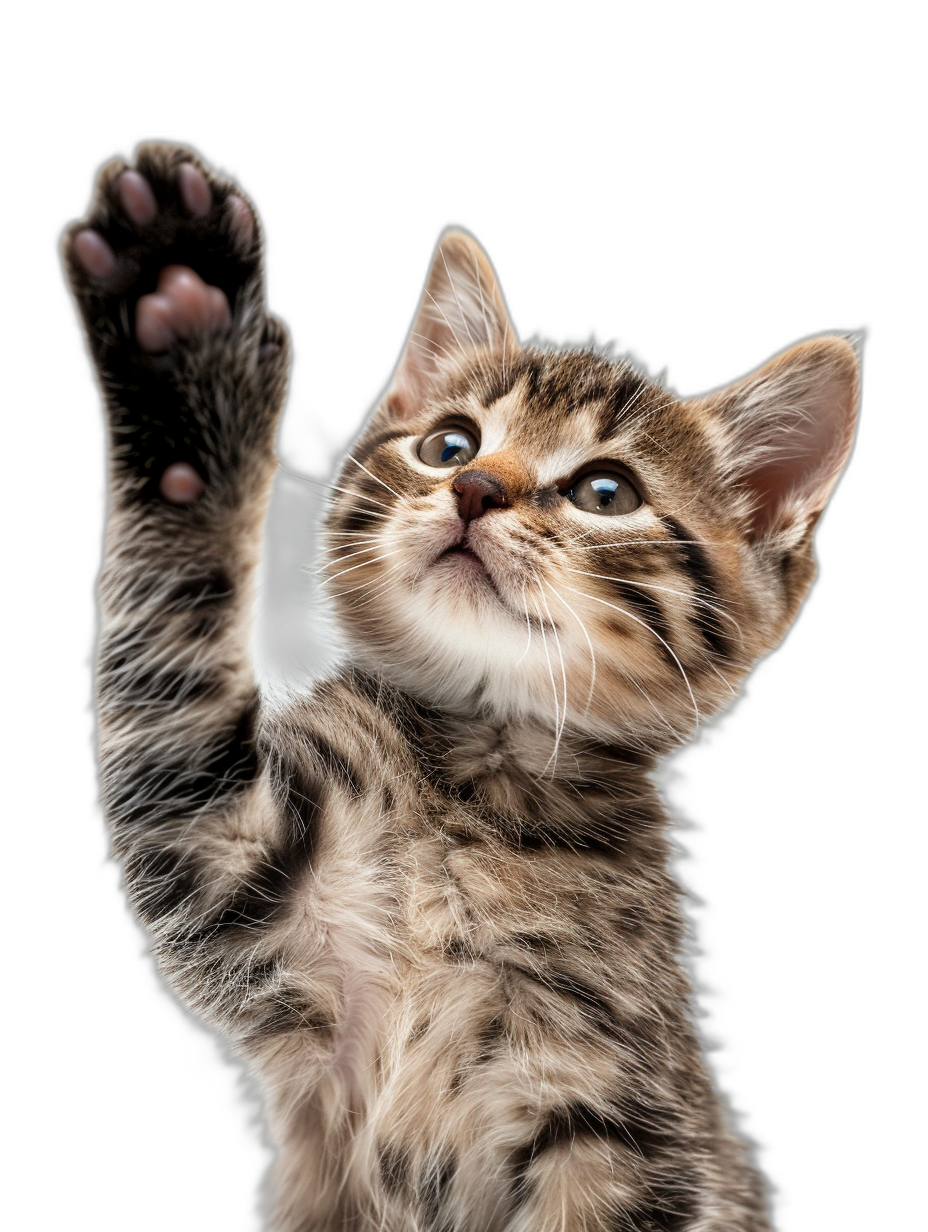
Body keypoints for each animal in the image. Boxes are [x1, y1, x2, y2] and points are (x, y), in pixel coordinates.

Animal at [63, 144, 862, 1232]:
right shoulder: (227, 862)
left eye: (606, 491)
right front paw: (177, 333)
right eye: (448, 443)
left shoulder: (623, 1131)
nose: (476, 489)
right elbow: (170, 674)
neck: (472, 778)